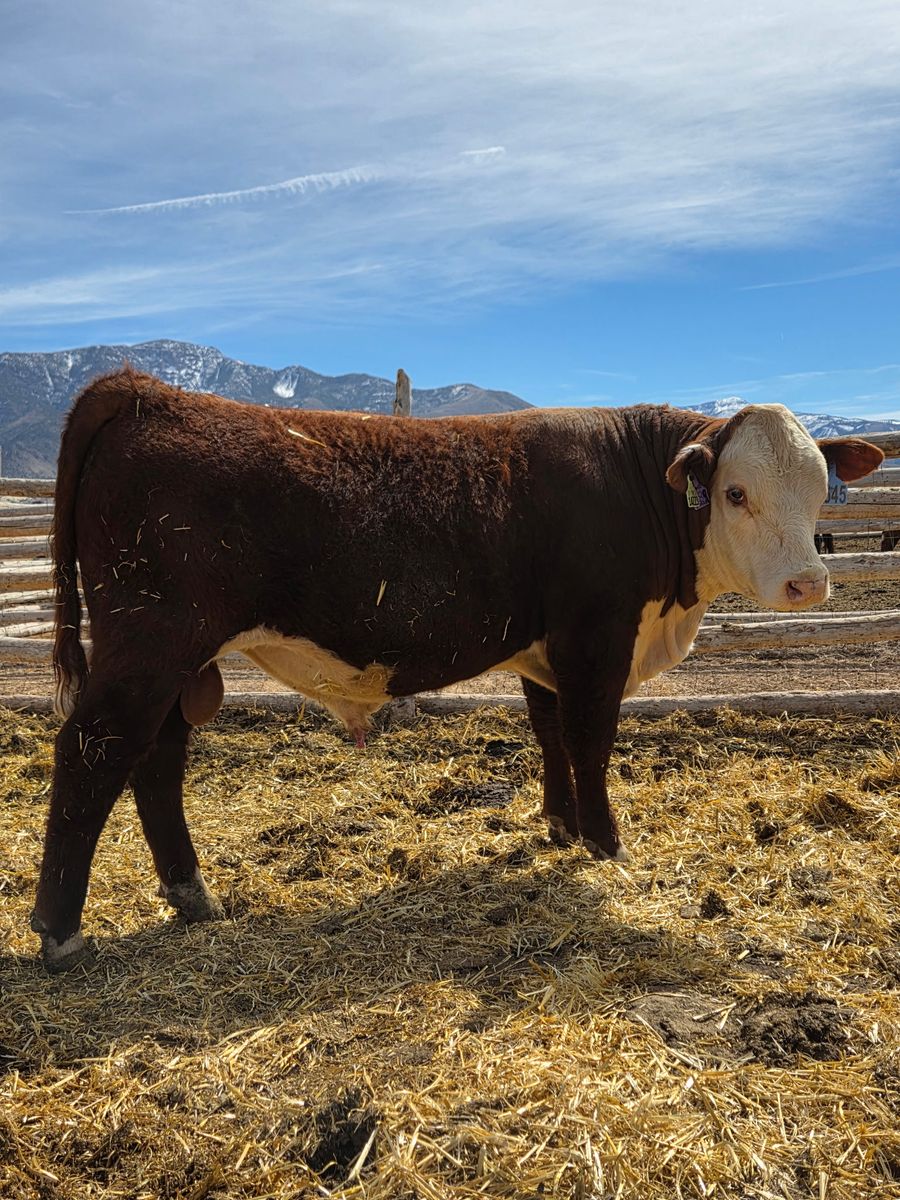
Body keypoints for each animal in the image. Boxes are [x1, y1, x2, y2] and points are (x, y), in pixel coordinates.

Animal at [30, 369, 883, 970]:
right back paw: (61, 932)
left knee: (156, 759)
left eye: (821, 490)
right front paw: (604, 841)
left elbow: (549, 736)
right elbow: (590, 738)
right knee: (92, 752)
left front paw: (560, 826)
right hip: (150, 641)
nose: (807, 585)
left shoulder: (544, 649)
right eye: (736, 493)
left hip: (179, 659)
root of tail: (144, 390)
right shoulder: (594, 637)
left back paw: (190, 893)